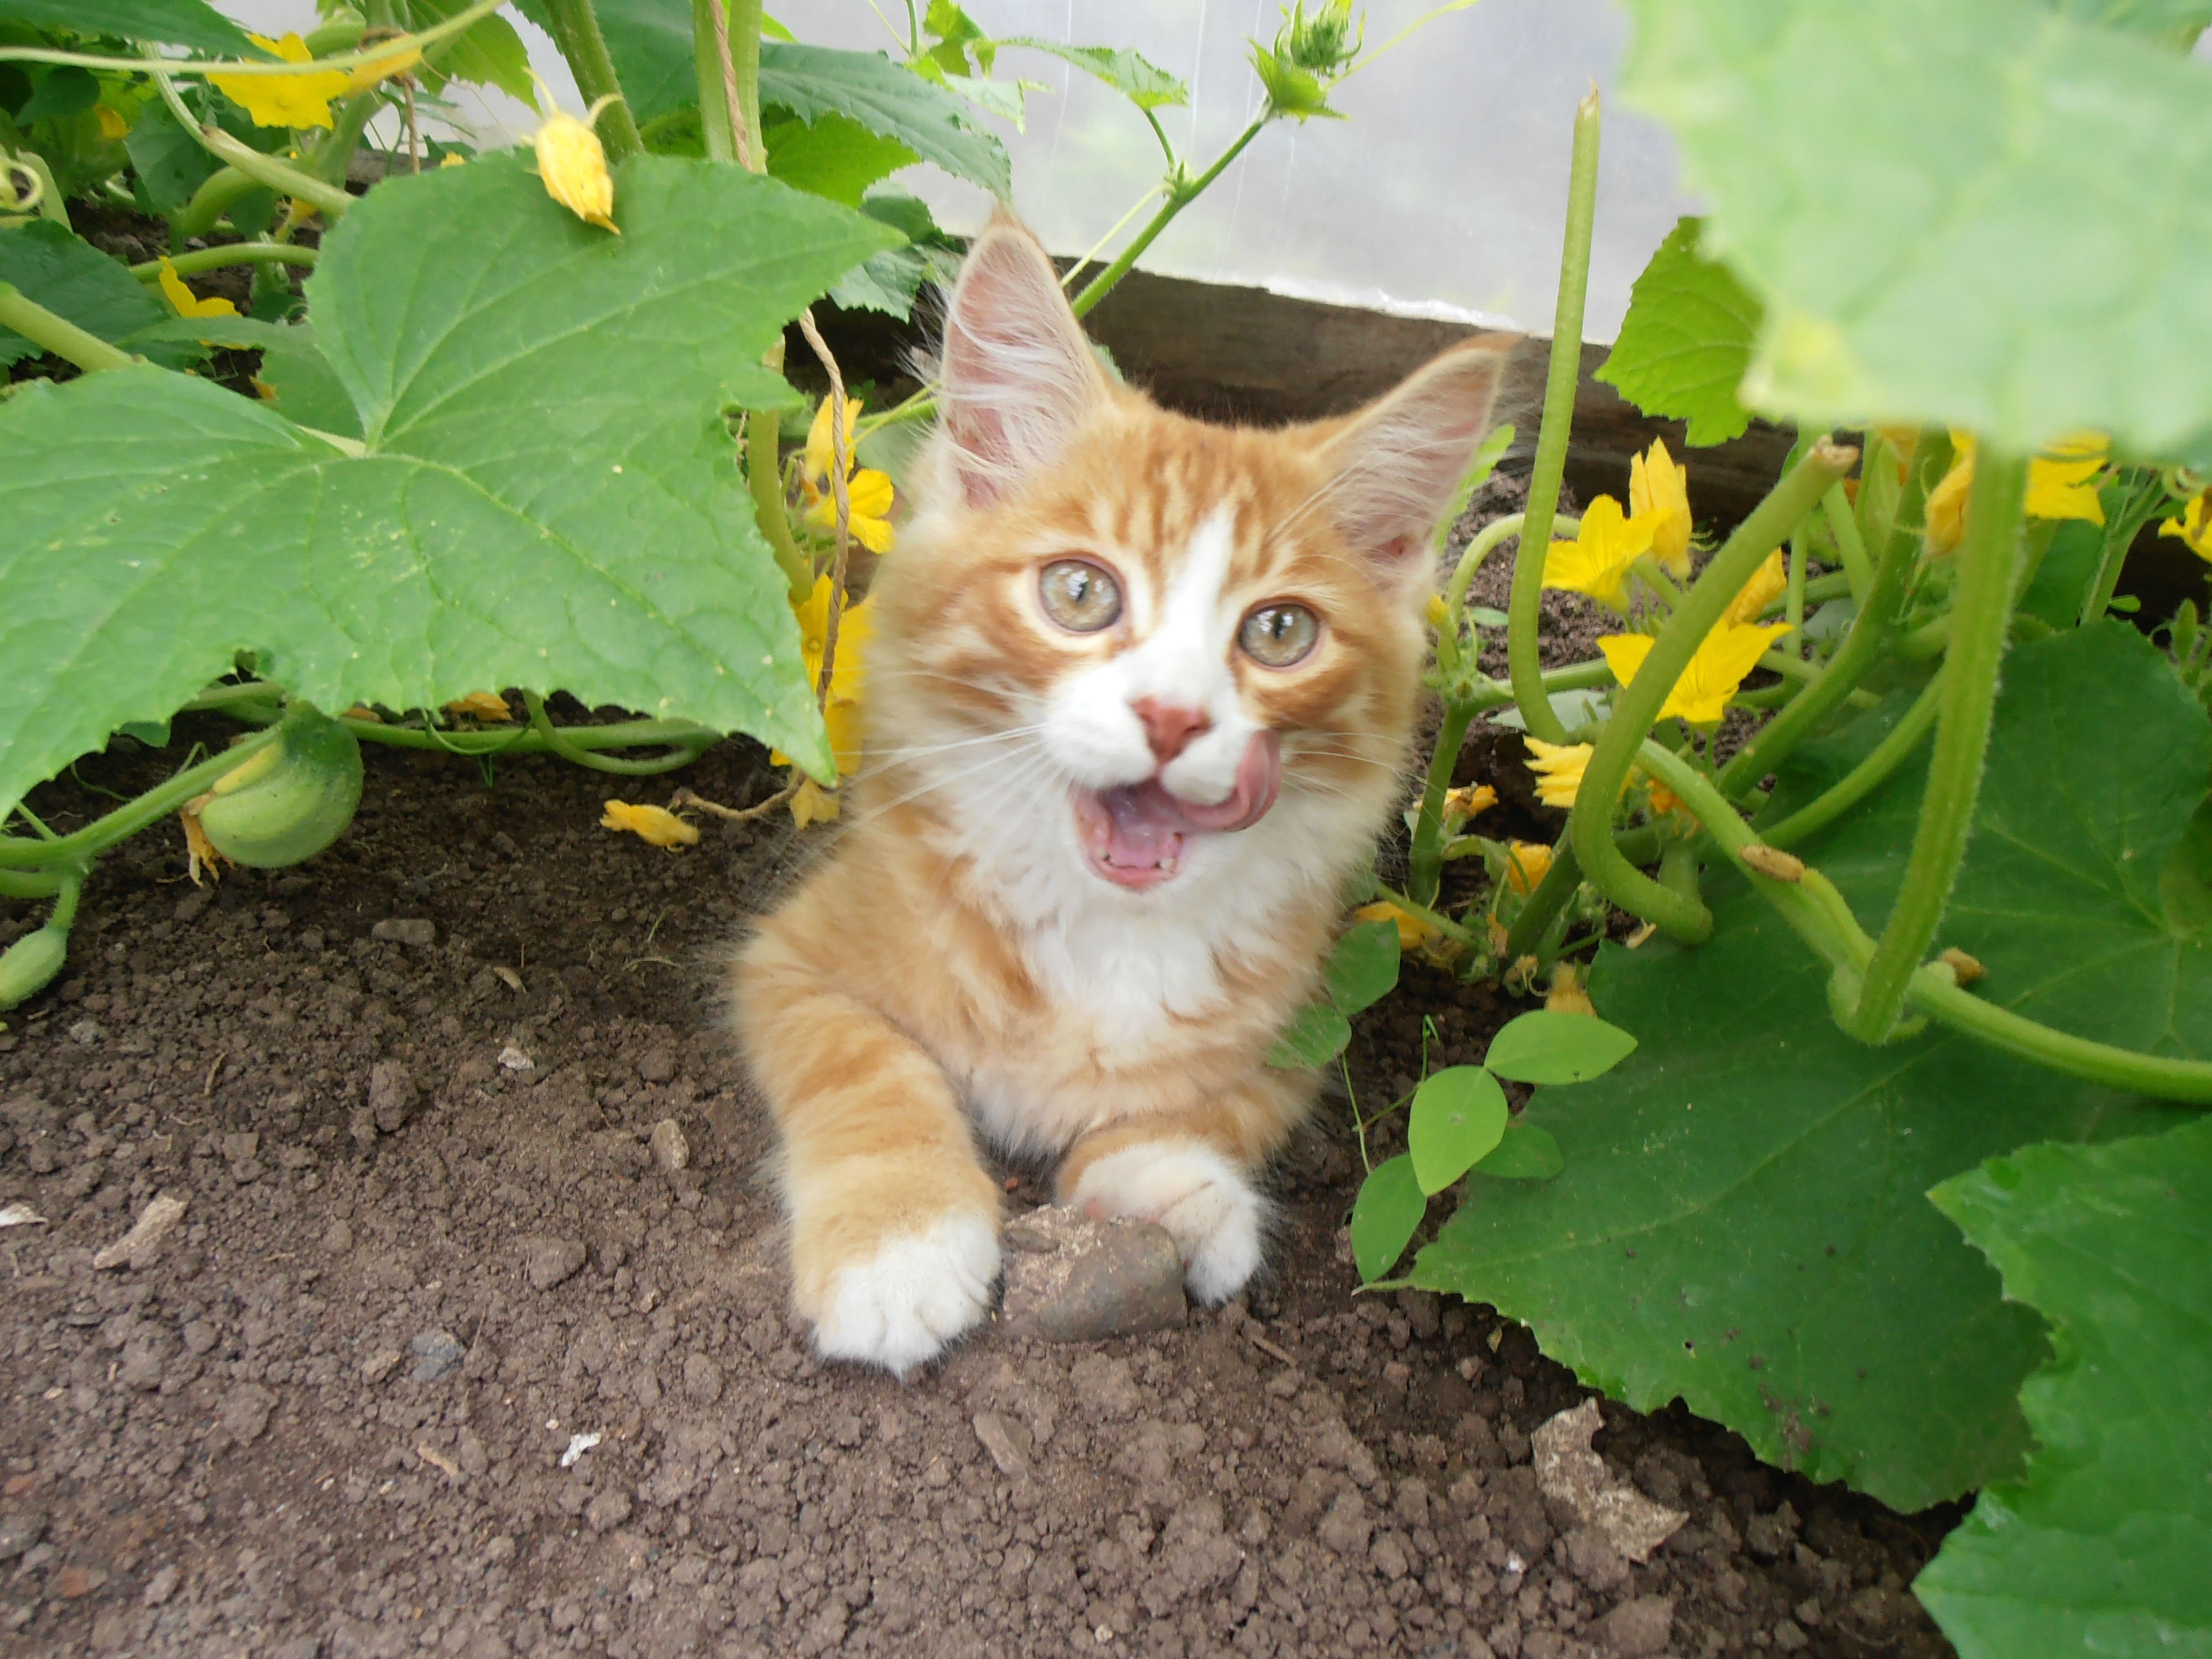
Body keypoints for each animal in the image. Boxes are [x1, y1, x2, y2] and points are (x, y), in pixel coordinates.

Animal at [734, 218, 1513, 1380]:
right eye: (1079, 592)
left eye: (1279, 632)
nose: (1173, 716)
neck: (1098, 922)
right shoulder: (790, 958)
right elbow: (866, 1067)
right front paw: (899, 1243)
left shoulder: (1301, 1017)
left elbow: (1207, 1100)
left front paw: (1165, 1180)